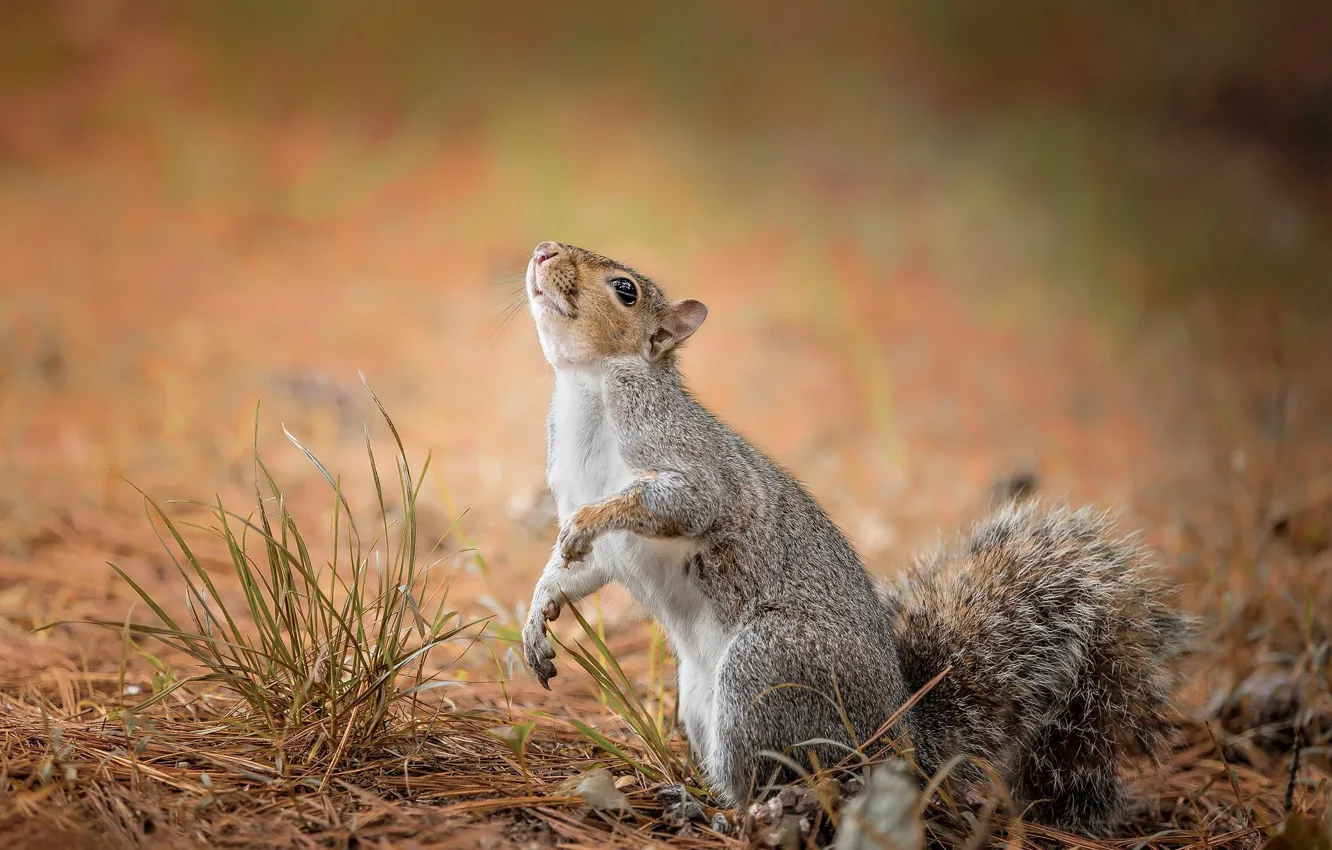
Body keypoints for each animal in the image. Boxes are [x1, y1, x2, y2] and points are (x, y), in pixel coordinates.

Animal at [514, 241, 1193, 842]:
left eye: (624, 290)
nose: (544, 251)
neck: (587, 390)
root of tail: (898, 742)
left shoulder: (685, 455)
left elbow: (684, 500)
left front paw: (597, 517)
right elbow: (579, 569)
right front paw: (539, 614)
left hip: (768, 671)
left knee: (778, 778)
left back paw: (724, 816)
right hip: (703, 703)